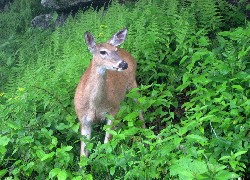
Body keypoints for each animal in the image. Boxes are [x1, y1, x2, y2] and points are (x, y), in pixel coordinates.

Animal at [73, 28, 145, 158]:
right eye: (102, 52)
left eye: (115, 50)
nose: (123, 64)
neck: (95, 105)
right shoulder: (83, 120)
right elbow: (83, 155)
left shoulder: (113, 109)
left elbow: (107, 144)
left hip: (132, 83)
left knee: (139, 108)